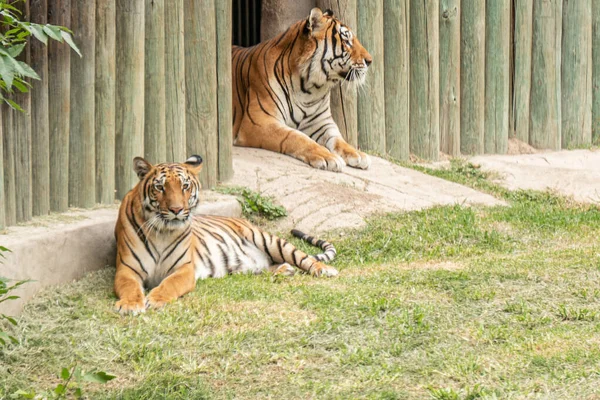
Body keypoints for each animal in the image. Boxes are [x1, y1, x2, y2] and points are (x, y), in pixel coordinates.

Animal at [112, 155, 338, 314]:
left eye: (185, 186)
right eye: (160, 187)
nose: (177, 209)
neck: (162, 231)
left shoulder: (184, 269)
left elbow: (169, 284)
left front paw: (156, 300)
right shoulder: (127, 269)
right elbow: (130, 287)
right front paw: (130, 305)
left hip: (269, 240)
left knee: (304, 258)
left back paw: (325, 270)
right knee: (270, 266)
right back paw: (284, 270)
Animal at [233, 6, 370, 172]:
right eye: (346, 41)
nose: (370, 61)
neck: (310, 89)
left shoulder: (322, 122)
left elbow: (337, 138)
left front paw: (357, 154)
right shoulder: (259, 121)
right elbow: (296, 136)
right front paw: (328, 157)